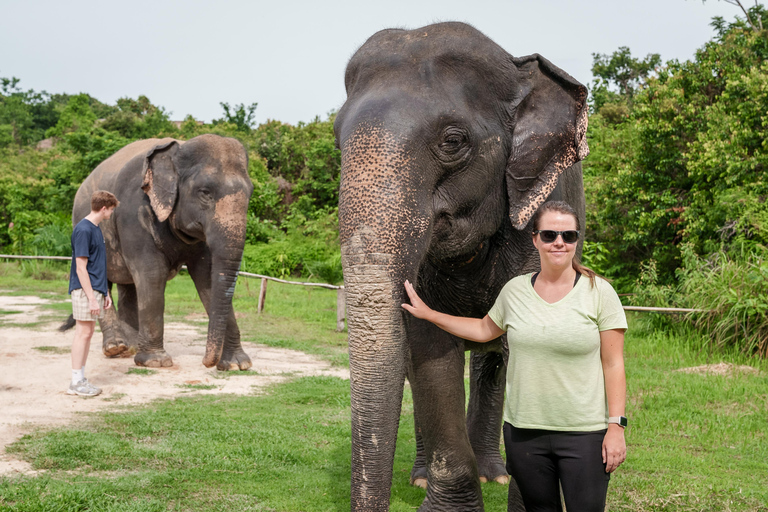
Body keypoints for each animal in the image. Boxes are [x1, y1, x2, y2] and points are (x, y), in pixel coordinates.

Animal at [71, 134, 255, 370]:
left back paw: (131, 347)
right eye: (205, 192)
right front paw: (155, 362)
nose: (207, 363)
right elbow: (152, 273)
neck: (178, 151)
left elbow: (207, 277)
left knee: (128, 285)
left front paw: (237, 364)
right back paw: (116, 347)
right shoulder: (134, 213)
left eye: (250, 193)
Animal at [332, 23, 592, 512]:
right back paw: (420, 478)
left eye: (453, 141)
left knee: (495, 362)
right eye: (338, 139)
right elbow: (430, 349)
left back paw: (493, 472)